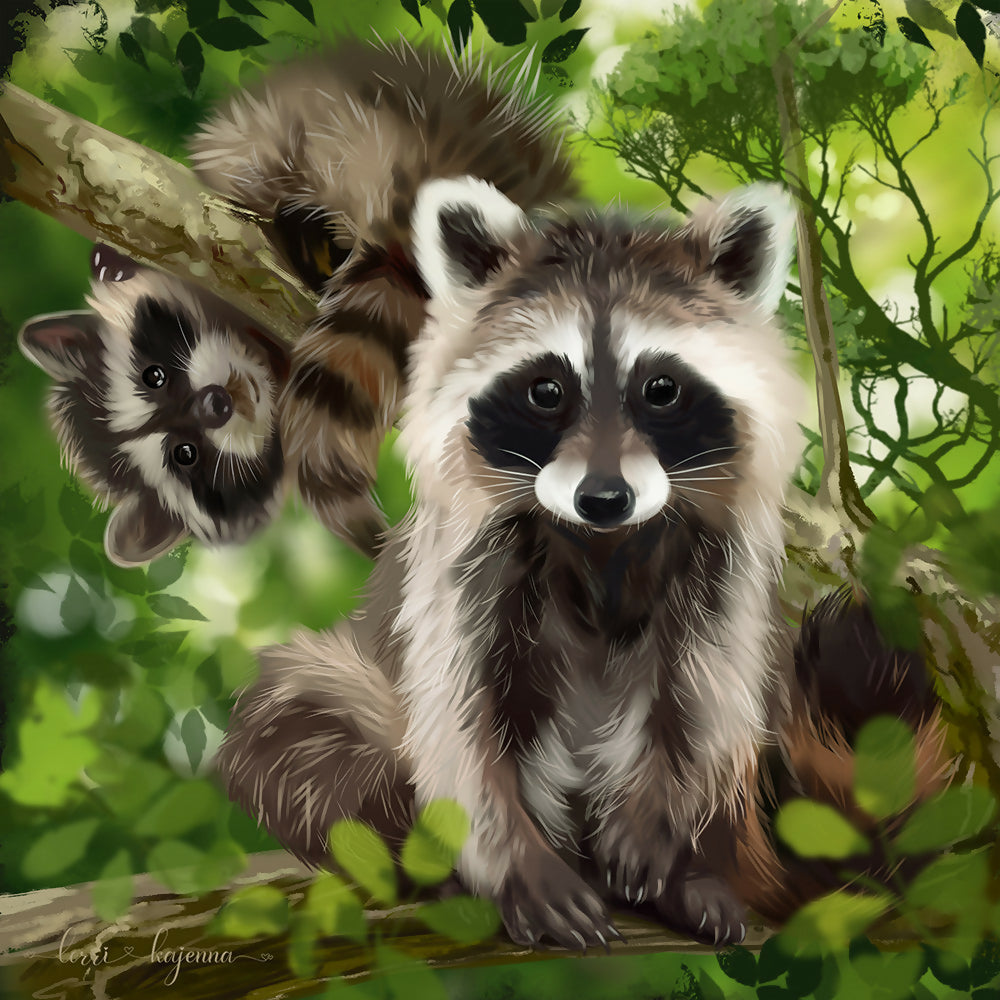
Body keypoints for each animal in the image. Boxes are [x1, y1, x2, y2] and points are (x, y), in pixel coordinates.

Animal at [217, 179, 950, 949]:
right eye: (546, 390)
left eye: (661, 389)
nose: (603, 497)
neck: (603, 540)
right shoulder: (461, 564)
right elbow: (457, 714)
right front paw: (511, 862)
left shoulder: (725, 560)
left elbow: (703, 690)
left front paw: (661, 828)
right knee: (296, 726)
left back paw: (692, 869)